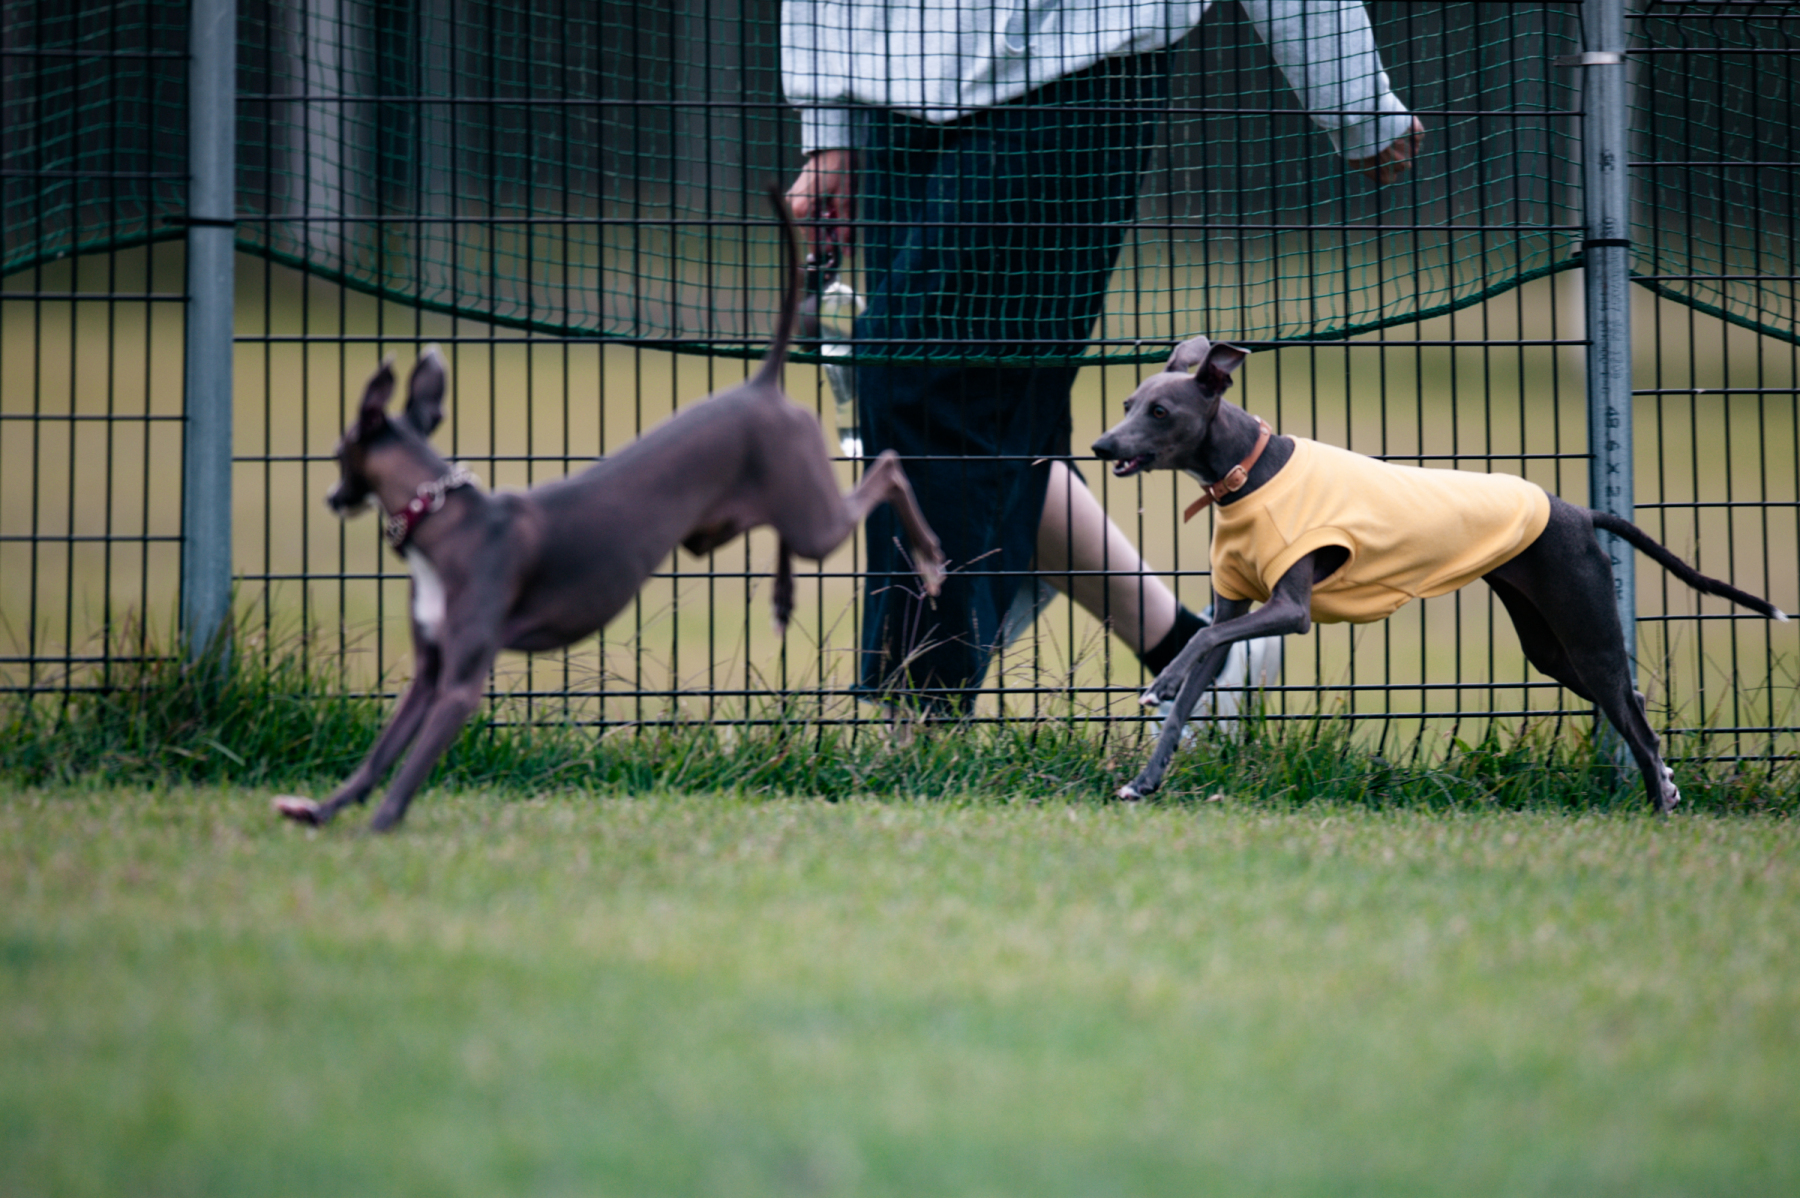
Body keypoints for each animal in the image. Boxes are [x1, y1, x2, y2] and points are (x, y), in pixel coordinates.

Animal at [274, 191, 945, 832]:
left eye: (336, 452)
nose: (331, 498)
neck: (444, 521)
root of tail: (763, 385)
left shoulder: (460, 684)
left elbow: (411, 765)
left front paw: (377, 825)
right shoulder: (428, 673)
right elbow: (379, 755)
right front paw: (325, 810)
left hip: (814, 519)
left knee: (887, 466)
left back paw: (931, 558)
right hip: (726, 521)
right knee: (784, 519)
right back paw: (783, 594)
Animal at [1091, 336, 1787, 811]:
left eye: (1160, 411)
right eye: (1126, 403)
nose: (1101, 446)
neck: (1248, 469)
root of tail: (1575, 511)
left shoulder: (1291, 611)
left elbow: (1202, 640)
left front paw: (1157, 686)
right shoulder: (1238, 607)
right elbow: (1192, 681)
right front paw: (1144, 781)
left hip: (1586, 628)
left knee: (1635, 721)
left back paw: (1661, 806)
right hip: (1550, 645)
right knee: (1634, 700)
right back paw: (1664, 784)